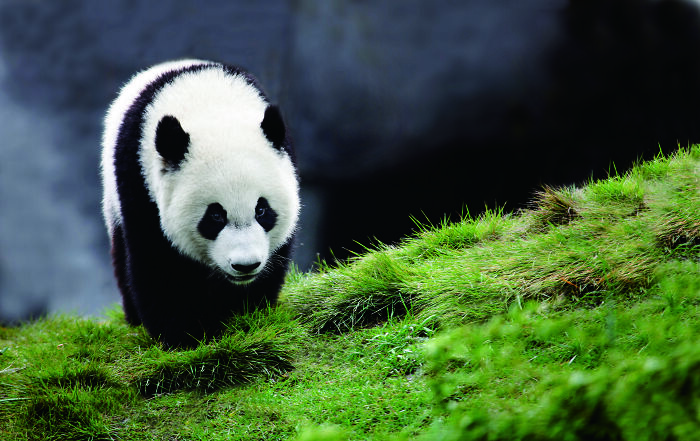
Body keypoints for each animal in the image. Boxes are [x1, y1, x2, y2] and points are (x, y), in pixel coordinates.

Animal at [101, 59, 300, 348]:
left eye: (262, 210)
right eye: (215, 216)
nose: (245, 265)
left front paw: (247, 314)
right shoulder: (139, 183)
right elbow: (157, 263)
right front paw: (184, 335)